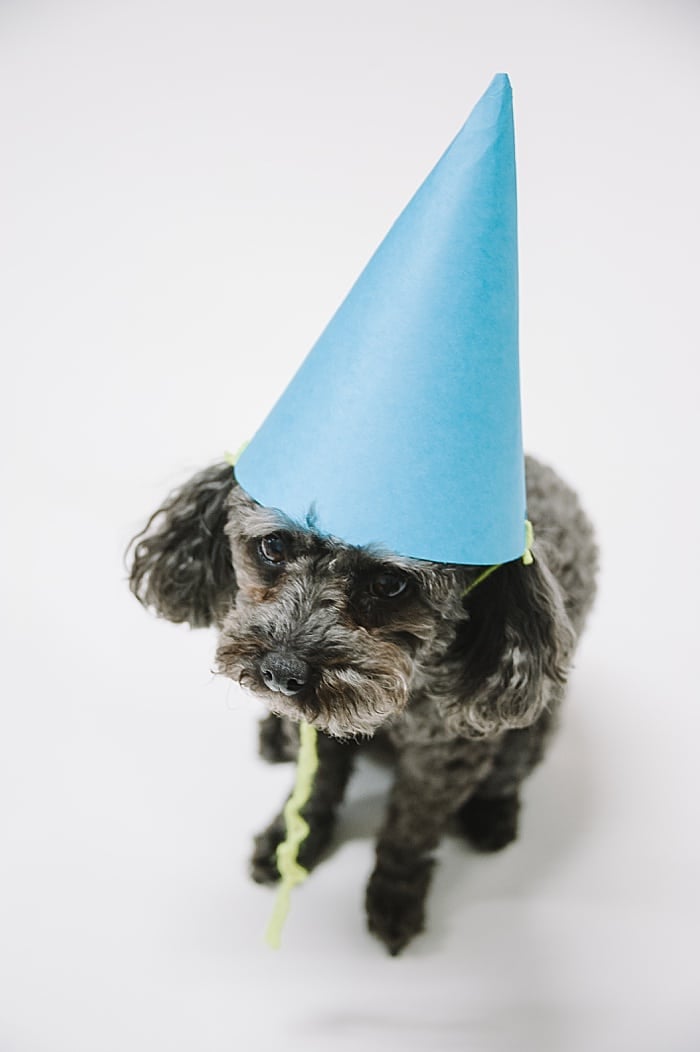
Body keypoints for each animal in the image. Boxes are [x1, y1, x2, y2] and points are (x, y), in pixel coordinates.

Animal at [126, 452, 593, 955]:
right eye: (273, 545)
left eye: (389, 582)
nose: (281, 673)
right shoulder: (313, 726)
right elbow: (314, 787)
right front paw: (291, 842)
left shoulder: (446, 754)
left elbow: (411, 828)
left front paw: (395, 894)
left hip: (529, 732)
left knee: (508, 773)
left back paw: (492, 816)